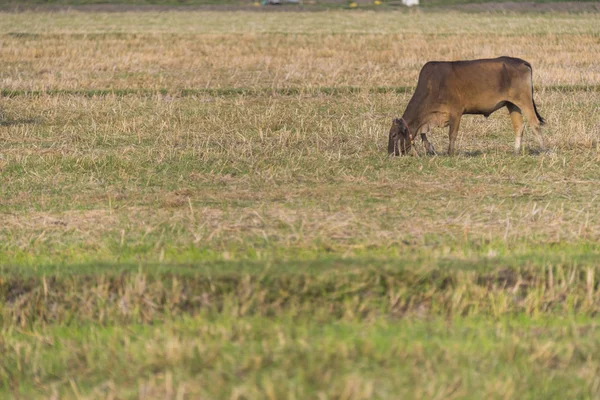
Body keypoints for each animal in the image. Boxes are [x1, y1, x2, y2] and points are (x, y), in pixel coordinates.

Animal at [390, 56, 548, 156]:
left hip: (525, 101)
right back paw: (515, 151)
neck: (432, 85)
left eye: (393, 135)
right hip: (512, 104)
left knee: (534, 124)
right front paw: (430, 148)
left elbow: (452, 134)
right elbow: (423, 133)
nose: (390, 153)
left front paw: (450, 153)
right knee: (519, 126)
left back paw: (543, 150)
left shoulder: (456, 112)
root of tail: (522, 62)